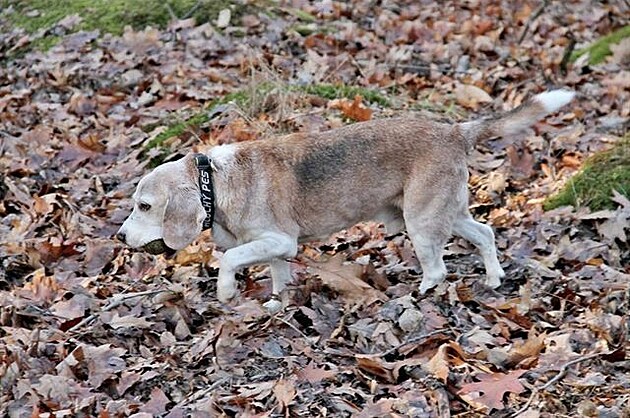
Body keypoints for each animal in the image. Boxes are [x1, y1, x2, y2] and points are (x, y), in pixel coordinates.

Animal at [117, 89, 576, 310]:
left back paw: (418, 295)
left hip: (422, 223)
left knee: (439, 270)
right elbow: (277, 276)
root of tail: (453, 130)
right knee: (484, 233)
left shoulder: (279, 240)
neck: (214, 180)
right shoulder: (275, 249)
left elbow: (230, 259)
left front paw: (227, 291)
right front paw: (276, 303)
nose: (120, 237)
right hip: (444, 212)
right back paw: (495, 277)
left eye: (144, 206)